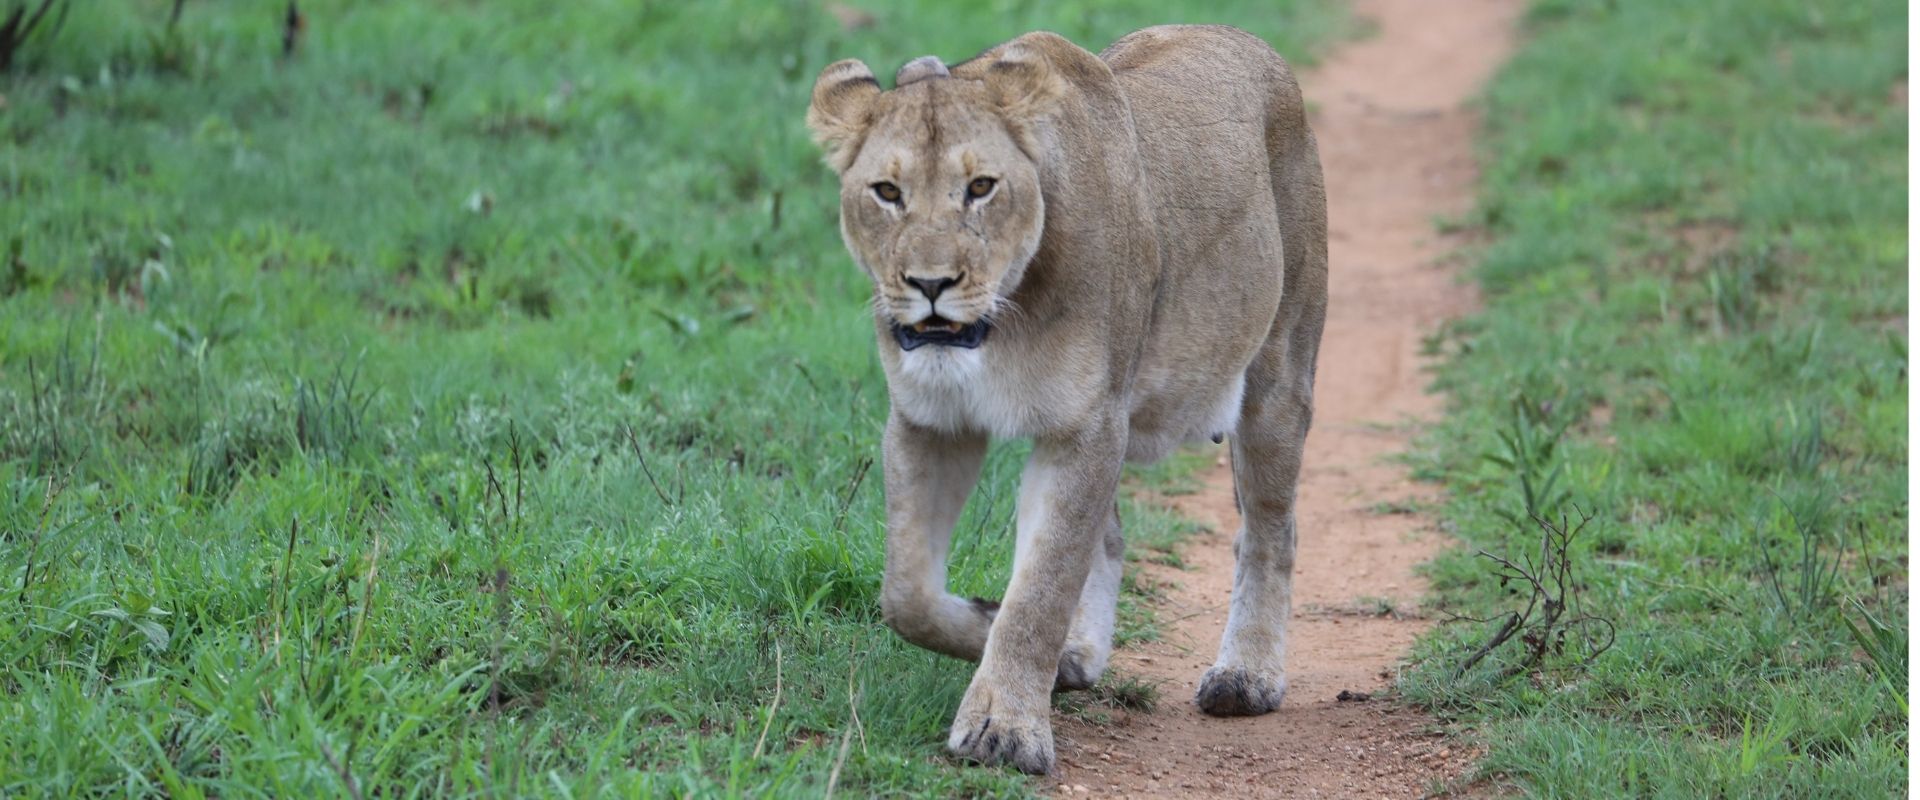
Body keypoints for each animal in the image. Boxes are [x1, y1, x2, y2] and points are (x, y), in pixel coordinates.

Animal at [806, 25, 1326, 775]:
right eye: (886, 192)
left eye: (981, 187)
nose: (930, 284)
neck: (1003, 321)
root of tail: (1243, 37)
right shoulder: (929, 420)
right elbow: (906, 593)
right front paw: (992, 627)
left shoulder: (1087, 425)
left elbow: (1042, 588)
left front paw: (1004, 727)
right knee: (1109, 536)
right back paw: (1077, 656)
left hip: (1279, 374)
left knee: (1268, 529)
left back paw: (1247, 675)